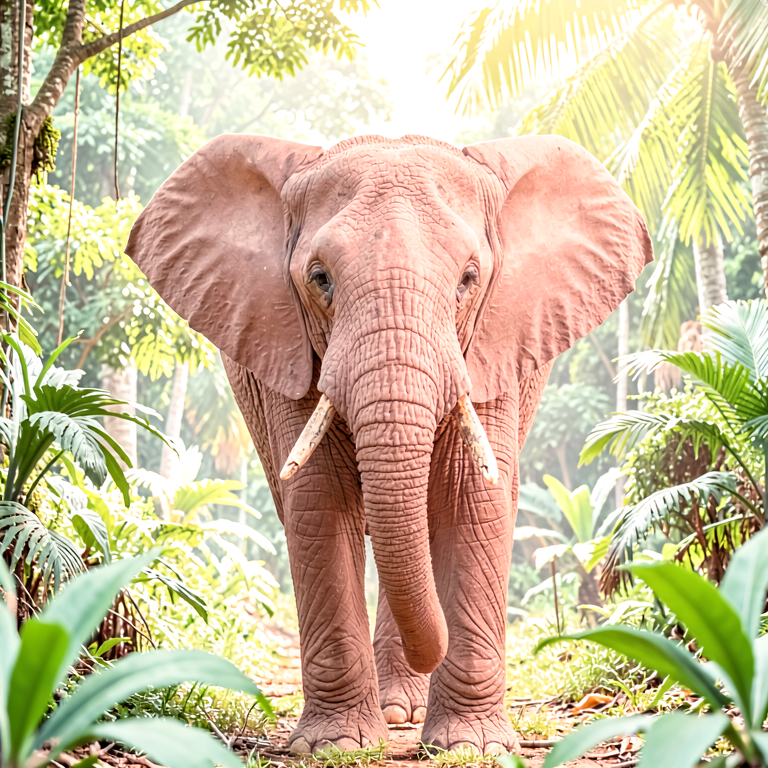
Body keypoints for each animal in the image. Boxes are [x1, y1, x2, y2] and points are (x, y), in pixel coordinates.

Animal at [125, 133, 652, 756]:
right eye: (320, 278)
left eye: (469, 279)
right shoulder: (289, 346)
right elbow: (320, 498)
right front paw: (337, 746)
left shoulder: (494, 349)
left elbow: (470, 498)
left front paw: (471, 748)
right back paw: (395, 710)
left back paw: (404, 709)